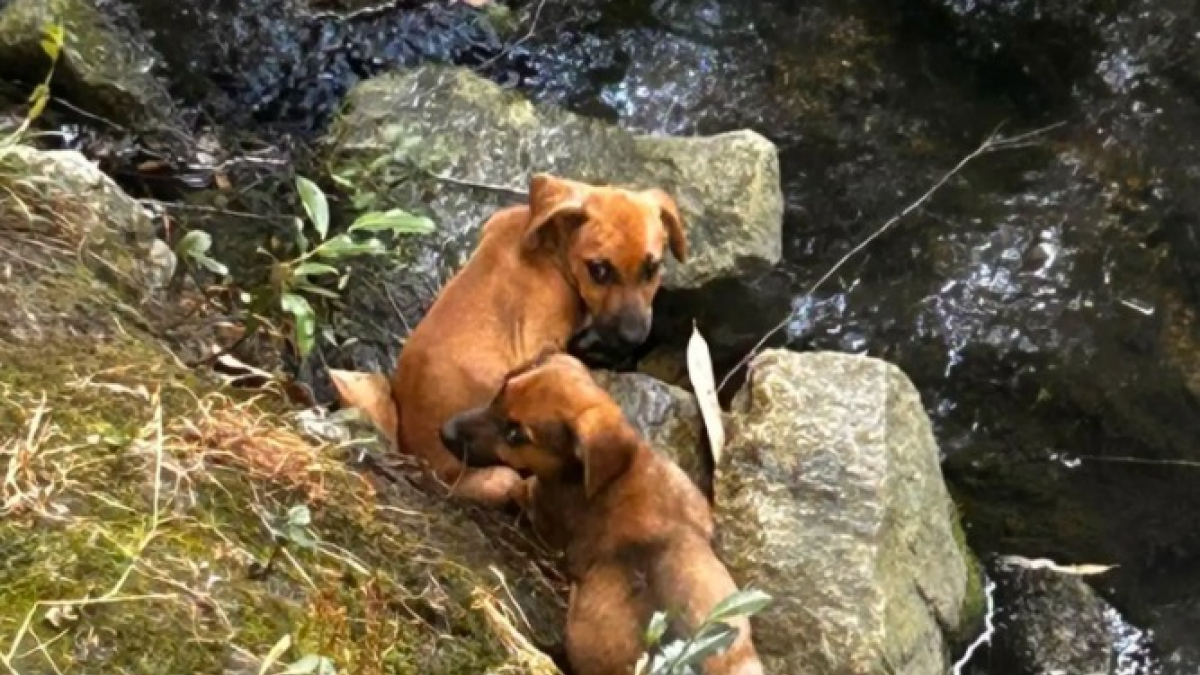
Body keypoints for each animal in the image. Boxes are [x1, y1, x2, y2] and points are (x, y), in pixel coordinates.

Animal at [393, 172, 691, 504]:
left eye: (652, 269)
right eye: (599, 270)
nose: (633, 337)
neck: (550, 249)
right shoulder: (543, 343)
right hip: (502, 476)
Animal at [439, 353, 758, 672]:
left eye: (516, 434)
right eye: (500, 392)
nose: (444, 433)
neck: (616, 473)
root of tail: (677, 660)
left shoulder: (541, 508)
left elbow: (515, 485)